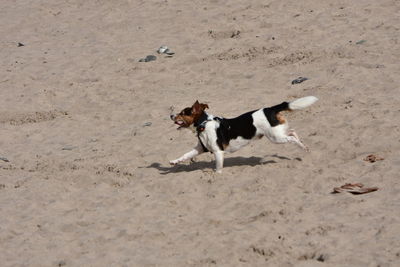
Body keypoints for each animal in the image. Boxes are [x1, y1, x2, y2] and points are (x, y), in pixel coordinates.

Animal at [170, 96, 318, 174]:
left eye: (182, 113)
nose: (170, 115)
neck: (204, 124)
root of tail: (270, 109)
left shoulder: (218, 152)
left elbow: (218, 167)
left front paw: (217, 175)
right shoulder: (200, 149)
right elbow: (185, 155)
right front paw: (173, 161)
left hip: (276, 138)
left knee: (292, 137)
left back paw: (303, 147)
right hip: (277, 134)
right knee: (292, 131)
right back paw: (303, 145)